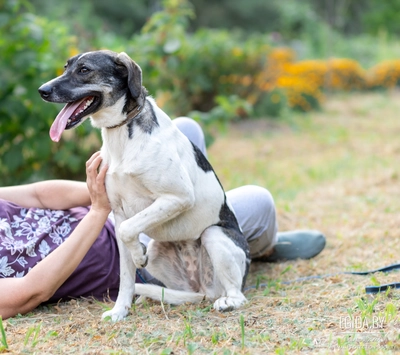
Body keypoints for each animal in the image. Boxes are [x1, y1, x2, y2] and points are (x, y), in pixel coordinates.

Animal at [37, 50, 250, 322]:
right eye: (66, 67)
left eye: (84, 70)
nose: (42, 90)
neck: (121, 136)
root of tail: (203, 289)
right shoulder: (118, 211)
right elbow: (126, 273)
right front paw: (120, 310)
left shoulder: (178, 197)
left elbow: (128, 230)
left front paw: (138, 253)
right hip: (160, 252)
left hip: (214, 235)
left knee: (237, 293)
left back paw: (228, 301)